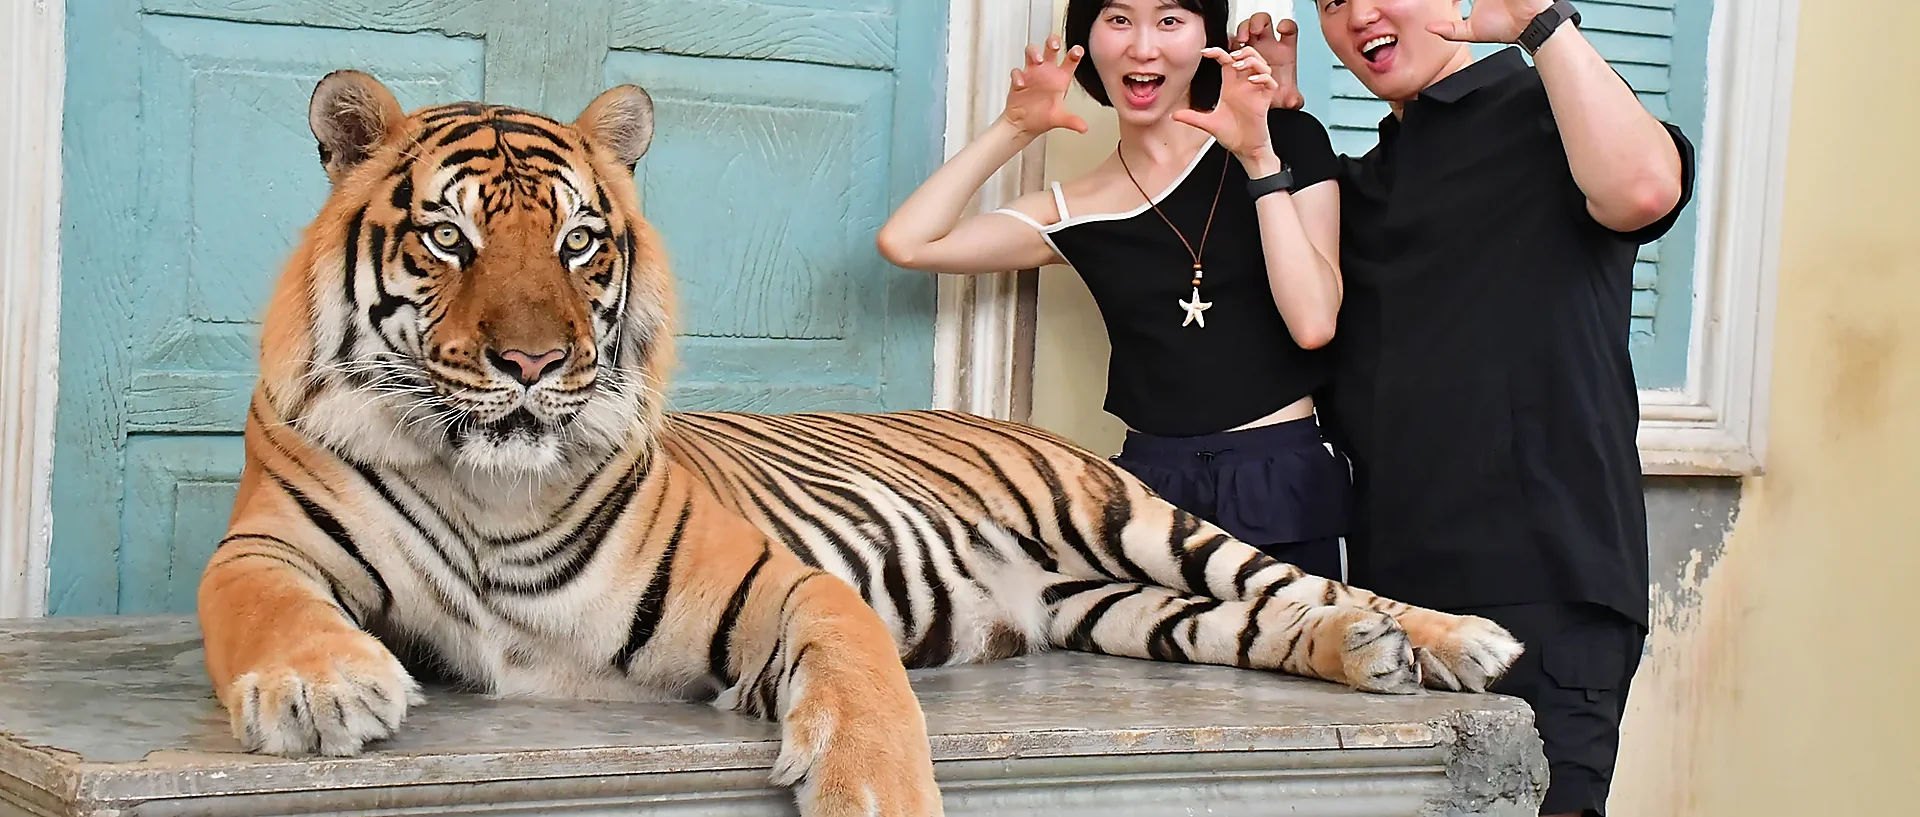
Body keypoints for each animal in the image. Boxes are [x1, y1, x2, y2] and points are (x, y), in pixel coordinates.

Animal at [196, 69, 1525, 817]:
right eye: (449, 239)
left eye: (579, 243)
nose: (532, 364)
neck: (492, 488)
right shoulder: (268, 542)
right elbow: (257, 599)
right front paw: (319, 688)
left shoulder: (784, 586)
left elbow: (868, 687)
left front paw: (877, 793)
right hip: (1114, 609)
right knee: (1247, 621)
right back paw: (1367, 657)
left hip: (1130, 516)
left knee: (1296, 579)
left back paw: (1455, 639)